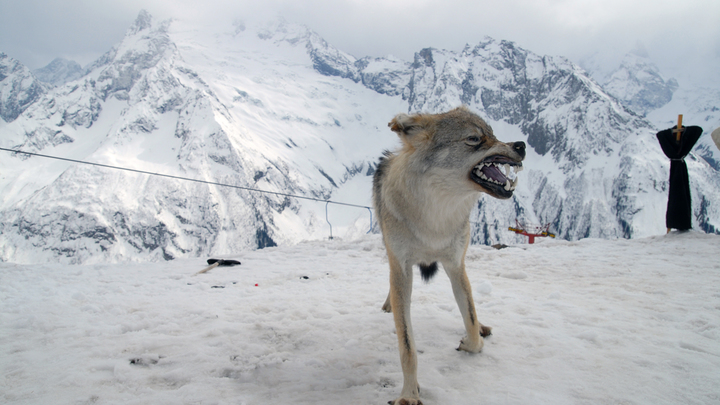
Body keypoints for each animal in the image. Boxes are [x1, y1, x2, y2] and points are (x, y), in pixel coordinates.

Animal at [372, 105, 524, 402]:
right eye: (474, 139)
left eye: (493, 133)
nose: (521, 145)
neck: (435, 216)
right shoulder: (402, 267)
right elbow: (407, 346)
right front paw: (409, 395)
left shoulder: (456, 265)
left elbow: (471, 320)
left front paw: (471, 340)